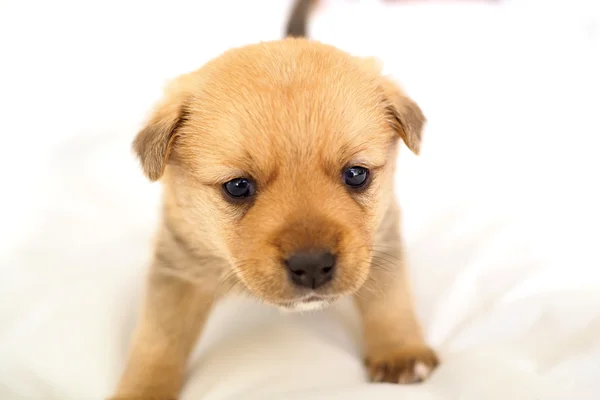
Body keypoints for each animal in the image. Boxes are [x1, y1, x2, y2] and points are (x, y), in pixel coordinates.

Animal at [112, 1, 438, 398]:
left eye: (356, 174)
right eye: (238, 186)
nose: (312, 265)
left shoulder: (383, 237)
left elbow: (390, 298)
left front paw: (399, 350)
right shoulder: (177, 266)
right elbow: (158, 338)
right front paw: (142, 389)